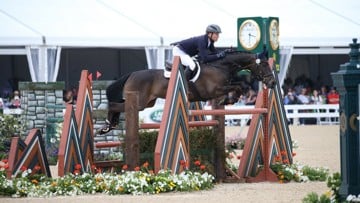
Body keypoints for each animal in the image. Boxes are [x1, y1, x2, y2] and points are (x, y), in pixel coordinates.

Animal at [100, 50, 278, 134]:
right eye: (264, 64)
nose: (273, 82)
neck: (220, 66)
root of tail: (132, 74)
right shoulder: (213, 90)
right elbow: (239, 86)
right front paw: (228, 100)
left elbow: (239, 84)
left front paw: (228, 100)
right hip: (139, 103)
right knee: (114, 105)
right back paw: (107, 126)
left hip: (148, 102)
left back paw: (109, 125)